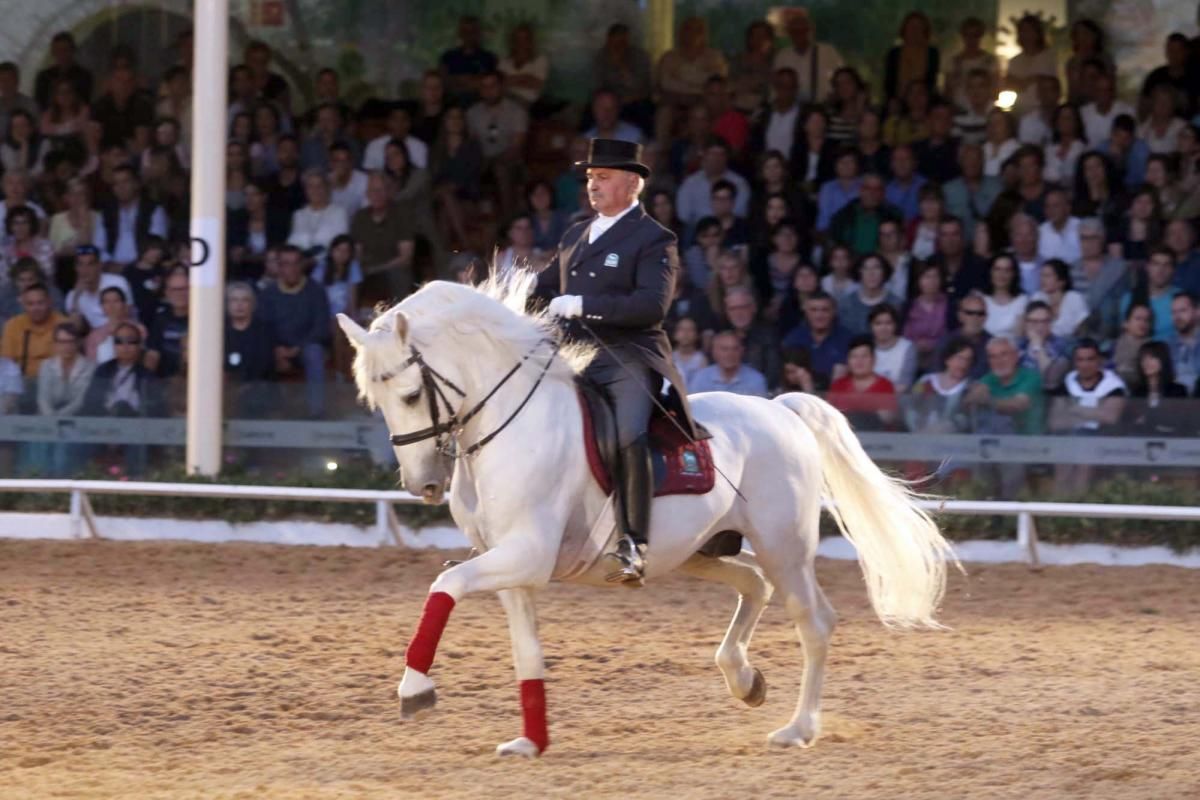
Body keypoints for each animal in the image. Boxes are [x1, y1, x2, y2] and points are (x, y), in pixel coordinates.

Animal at [338, 273, 955, 758]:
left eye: (411, 395)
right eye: (375, 400)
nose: (423, 484)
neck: (512, 423)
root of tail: (781, 409)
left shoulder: (526, 555)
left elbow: (443, 586)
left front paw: (414, 689)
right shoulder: (511, 565)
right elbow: (525, 650)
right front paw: (532, 741)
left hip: (784, 546)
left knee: (813, 620)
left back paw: (798, 728)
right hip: (698, 551)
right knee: (752, 583)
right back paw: (745, 680)